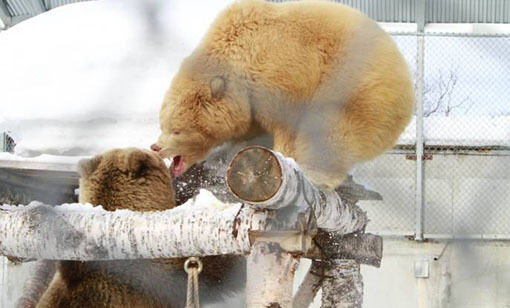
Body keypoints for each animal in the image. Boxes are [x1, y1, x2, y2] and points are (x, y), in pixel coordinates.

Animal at [151, 0, 414, 190]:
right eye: (163, 125)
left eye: (177, 130)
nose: (156, 147)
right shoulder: (250, 105)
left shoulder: (280, 75)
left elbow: (286, 125)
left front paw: (283, 157)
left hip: (355, 86)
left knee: (331, 131)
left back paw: (318, 174)